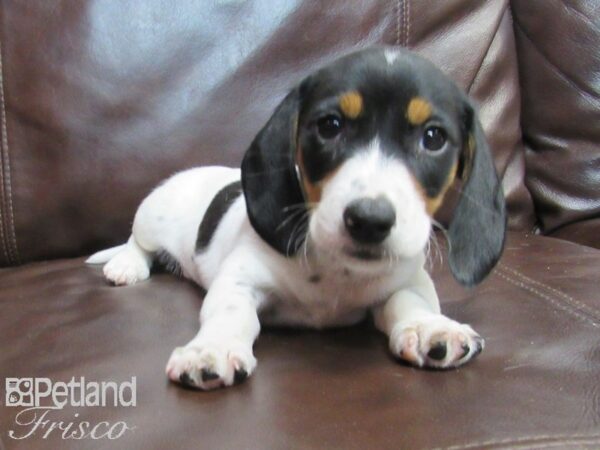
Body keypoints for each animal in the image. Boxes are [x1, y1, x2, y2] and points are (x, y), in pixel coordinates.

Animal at [85, 46, 506, 390]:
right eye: (330, 125)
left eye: (433, 138)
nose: (369, 220)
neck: (336, 270)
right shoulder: (240, 280)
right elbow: (231, 313)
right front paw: (211, 348)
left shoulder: (406, 278)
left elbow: (412, 301)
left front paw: (430, 327)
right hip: (151, 215)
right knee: (136, 242)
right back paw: (126, 265)